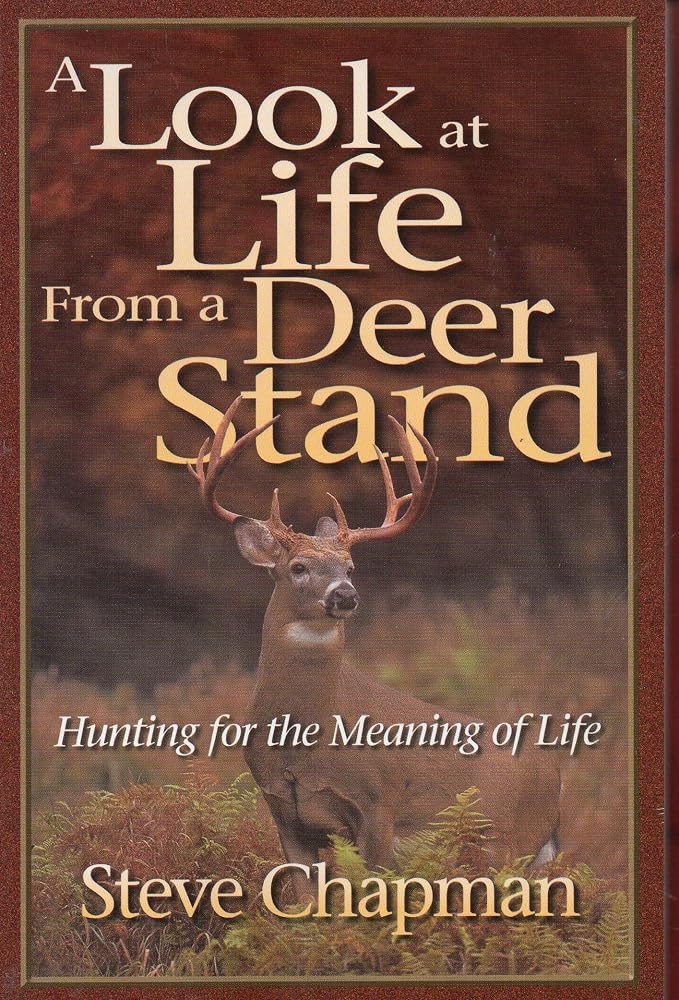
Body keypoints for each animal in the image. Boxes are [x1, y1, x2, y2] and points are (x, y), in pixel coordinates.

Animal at [189, 395, 562, 901]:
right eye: (299, 567)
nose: (345, 595)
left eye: (350, 566)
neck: (305, 739)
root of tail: (557, 778)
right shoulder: (285, 813)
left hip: (508, 841)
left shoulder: (378, 804)